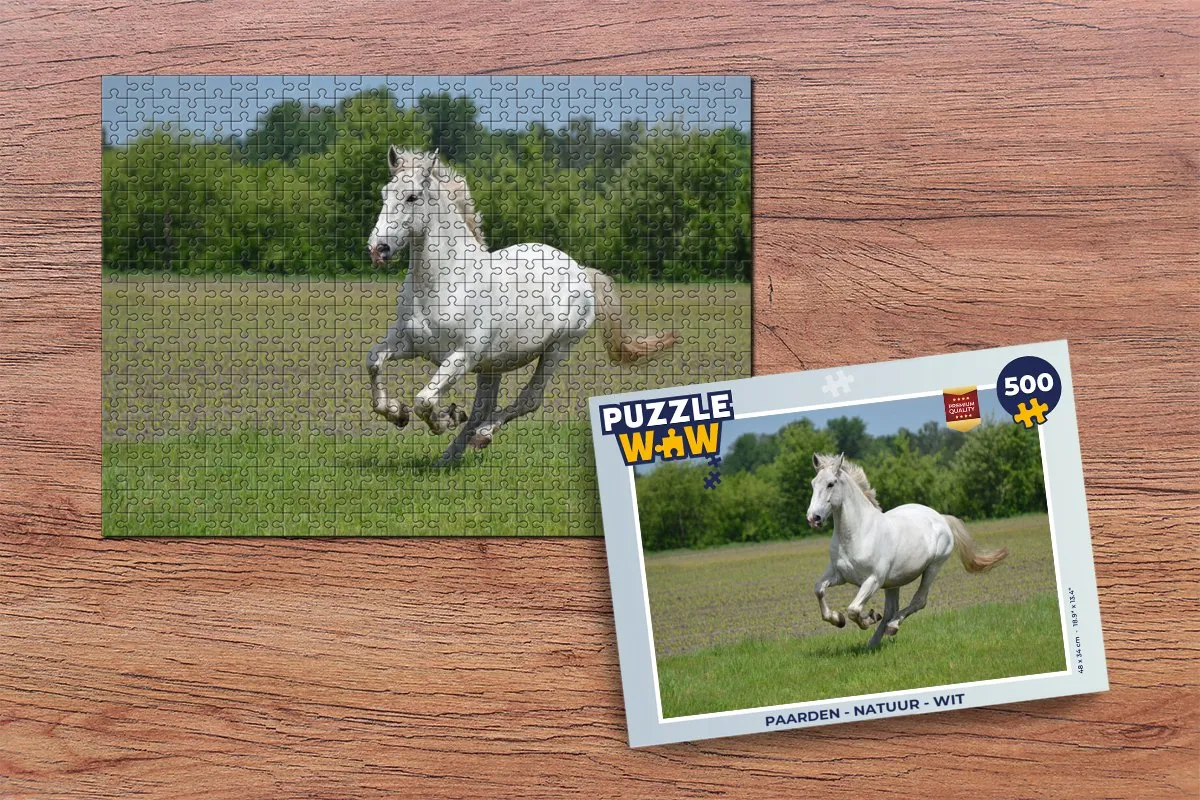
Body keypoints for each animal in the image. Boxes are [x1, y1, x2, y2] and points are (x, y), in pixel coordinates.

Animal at [365, 147, 680, 464]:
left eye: (412, 197)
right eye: (384, 194)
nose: (377, 249)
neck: (445, 282)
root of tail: (579, 269)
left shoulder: (462, 357)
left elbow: (424, 400)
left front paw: (443, 419)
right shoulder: (408, 343)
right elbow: (373, 361)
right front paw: (397, 413)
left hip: (556, 350)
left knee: (527, 400)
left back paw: (482, 435)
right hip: (492, 365)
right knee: (483, 407)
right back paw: (449, 456)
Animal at [806, 453, 1009, 650]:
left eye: (831, 483)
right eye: (813, 483)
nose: (813, 518)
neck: (857, 534)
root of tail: (940, 517)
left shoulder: (873, 580)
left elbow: (853, 610)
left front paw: (867, 619)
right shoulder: (839, 575)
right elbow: (818, 590)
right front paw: (838, 619)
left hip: (932, 568)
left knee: (917, 602)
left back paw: (892, 626)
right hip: (892, 583)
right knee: (890, 610)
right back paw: (873, 642)